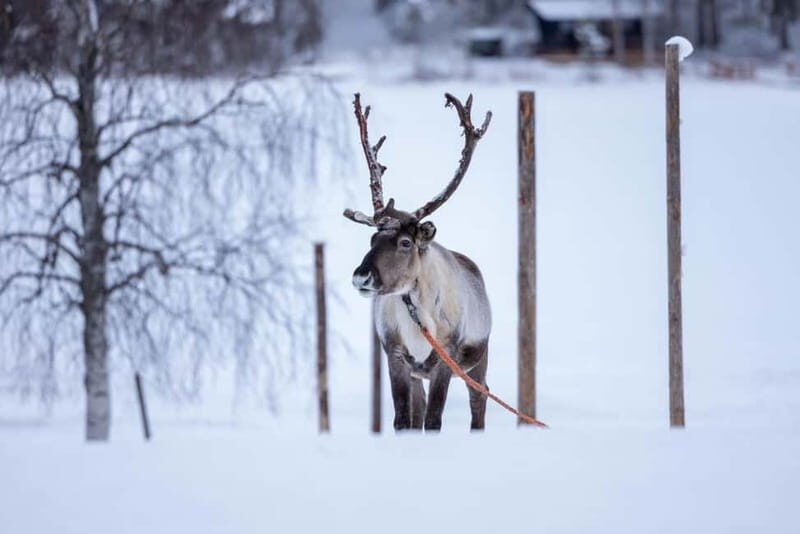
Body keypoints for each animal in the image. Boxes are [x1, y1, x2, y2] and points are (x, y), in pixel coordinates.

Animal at [344, 92, 492, 431]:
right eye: (372, 239)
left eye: (405, 242)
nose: (361, 277)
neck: (416, 311)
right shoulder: (396, 356)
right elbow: (403, 418)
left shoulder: (446, 357)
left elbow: (434, 419)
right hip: (417, 373)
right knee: (418, 407)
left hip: (478, 359)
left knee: (479, 401)